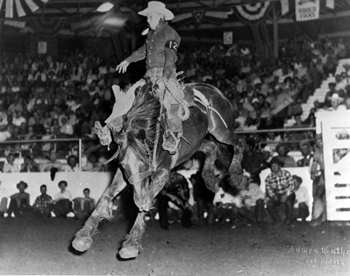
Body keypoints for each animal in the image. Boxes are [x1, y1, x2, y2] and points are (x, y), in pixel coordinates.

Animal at [72, 81, 245, 260]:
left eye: (145, 163)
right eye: (125, 165)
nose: (138, 199)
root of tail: (213, 90)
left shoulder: (162, 173)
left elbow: (148, 199)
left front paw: (131, 244)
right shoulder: (123, 173)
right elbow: (106, 196)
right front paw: (83, 237)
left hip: (221, 130)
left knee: (239, 142)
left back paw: (237, 175)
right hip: (196, 143)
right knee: (211, 147)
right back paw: (210, 180)